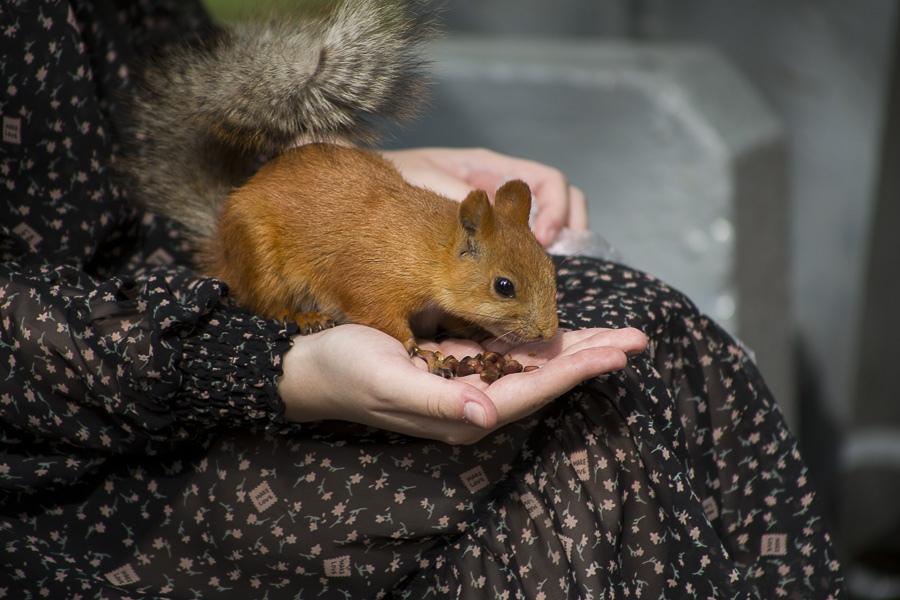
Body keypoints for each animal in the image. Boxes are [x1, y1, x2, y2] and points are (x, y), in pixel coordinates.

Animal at [119, 0, 556, 372]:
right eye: (504, 286)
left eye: (549, 263)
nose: (548, 333)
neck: (431, 251)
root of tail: (222, 244)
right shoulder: (369, 280)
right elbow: (378, 314)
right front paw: (421, 351)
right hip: (259, 257)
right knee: (263, 302)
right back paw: (303, 315)